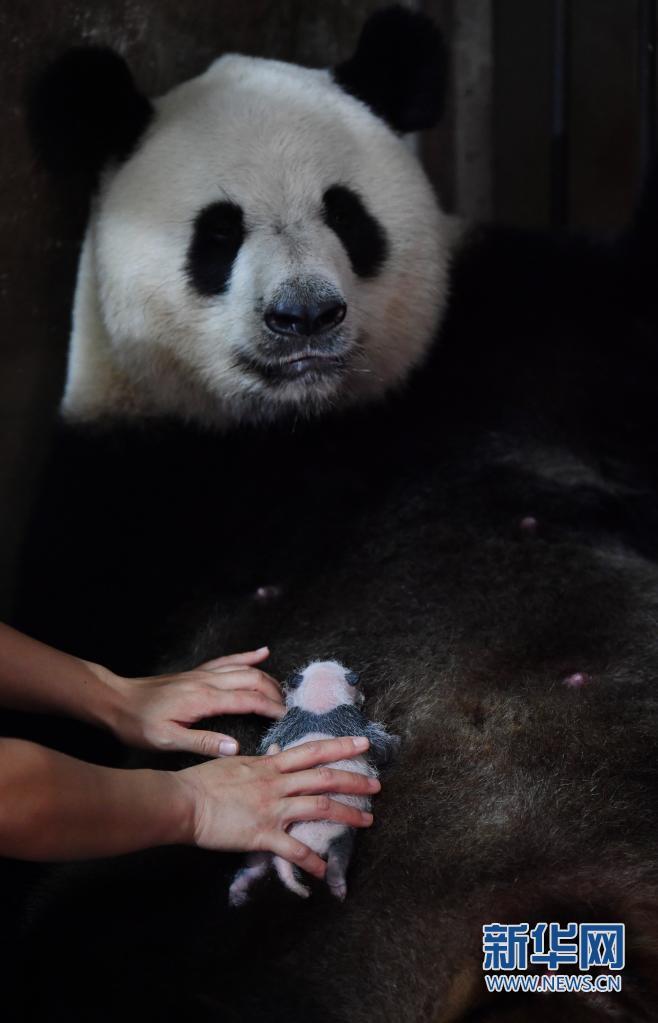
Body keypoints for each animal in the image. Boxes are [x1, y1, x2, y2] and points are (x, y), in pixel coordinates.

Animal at [6, 7, 658, 1023]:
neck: (306, 424)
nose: (303, 315)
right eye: (218, 231)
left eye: (346, 212)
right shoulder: (129, 491)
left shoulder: (529, 336)